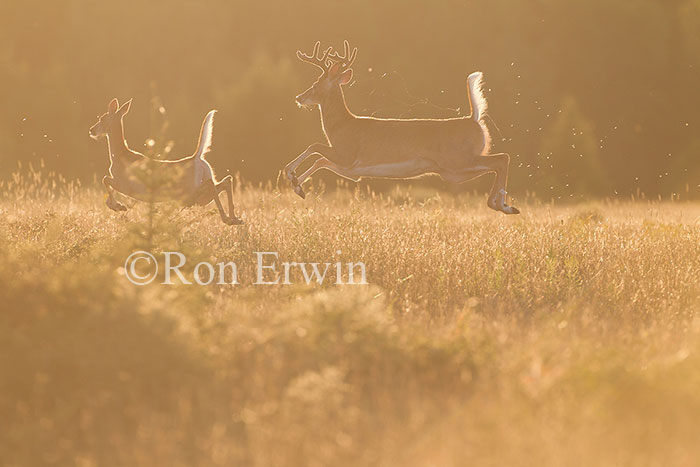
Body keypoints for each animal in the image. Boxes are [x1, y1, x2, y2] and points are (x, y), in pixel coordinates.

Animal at [90, 98, 243, 225]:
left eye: (102, 119)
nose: (91, 130)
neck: (120, 155)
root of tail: (196, 157)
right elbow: (106, 184)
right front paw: (116, 206)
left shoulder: (125, 185)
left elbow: (105, 179)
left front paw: (118, 206)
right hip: (199, 194)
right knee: (225, 181)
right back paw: (235, 219)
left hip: (190, 194)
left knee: (214, 184)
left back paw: (228, 219)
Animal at [284, 41, 520, 215]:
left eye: (315, 85)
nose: (299, 98)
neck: (340, 125)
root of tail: (473, 119)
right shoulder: (350, 170)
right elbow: (319, 160)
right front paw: (298, 187)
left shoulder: (347, 155)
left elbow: (315, 148)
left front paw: (291, 176)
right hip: (453, 172)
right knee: (497, 162)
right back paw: (505, 205)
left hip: (459, 160)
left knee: (502, 158)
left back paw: (502, 205)